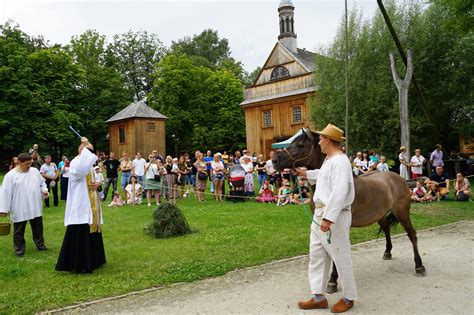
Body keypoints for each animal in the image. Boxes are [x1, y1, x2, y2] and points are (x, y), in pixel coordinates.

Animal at [272, 128, 428, 294]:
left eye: (300, 145)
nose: (274, 161)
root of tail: (400, 179)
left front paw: (332, 282)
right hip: (380, 215)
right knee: (386, 229)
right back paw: (387, 252)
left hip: (402, 213)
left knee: (412, 235)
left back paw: (419, 266)